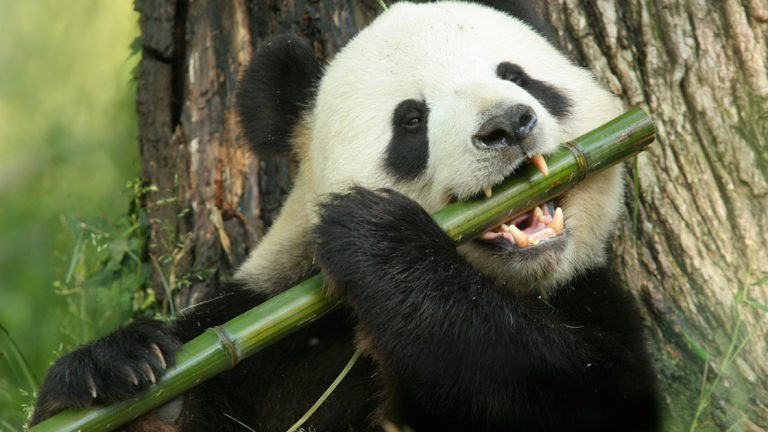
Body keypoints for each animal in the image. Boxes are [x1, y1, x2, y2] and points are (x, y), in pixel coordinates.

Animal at [30, 2, 660, 431]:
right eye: (411, 120)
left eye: (518, 76)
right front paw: (114, 371)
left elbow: (570, 391)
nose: (507, 123)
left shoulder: (593, 301)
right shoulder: (268, 328)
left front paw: (378, 239)